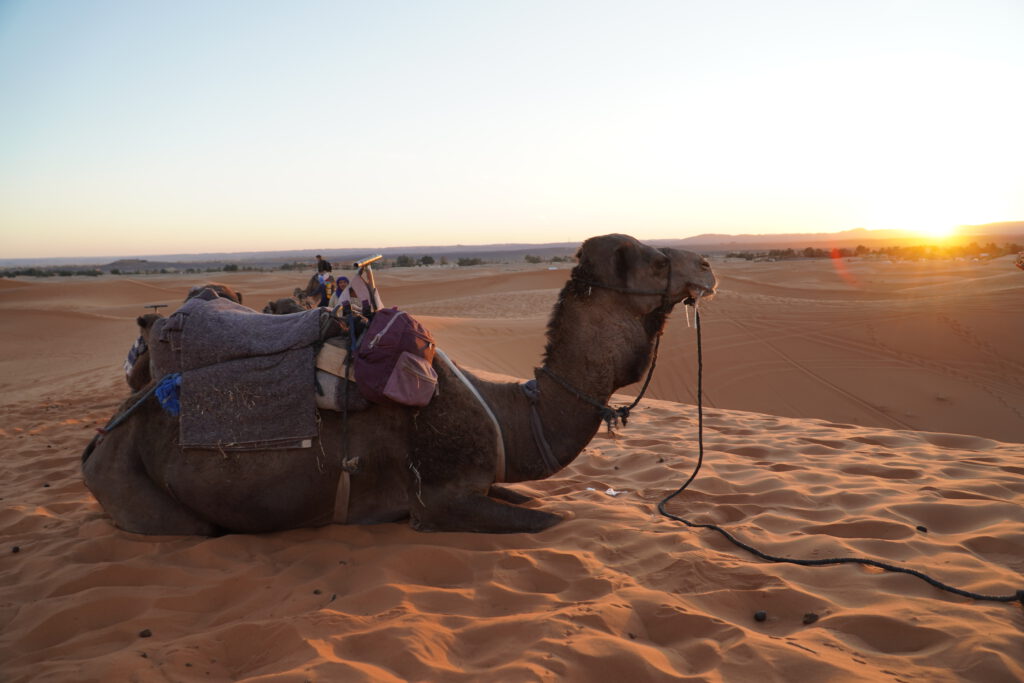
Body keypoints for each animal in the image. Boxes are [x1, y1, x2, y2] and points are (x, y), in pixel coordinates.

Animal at [83, 237, 716, 536]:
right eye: (652, 260)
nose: (707, 266)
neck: (510, 412)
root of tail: (102, 438)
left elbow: (535, 501)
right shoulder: (438, 498)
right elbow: (554, 521)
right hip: (137, 487)